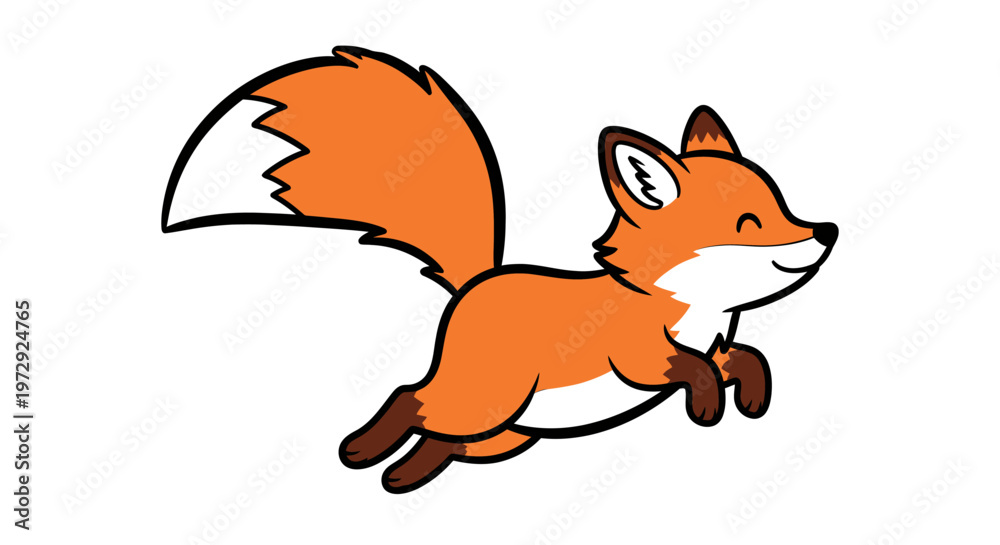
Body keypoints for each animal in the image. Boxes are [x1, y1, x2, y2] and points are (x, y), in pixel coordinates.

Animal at [163, 46, 837, 494]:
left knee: (442, 438)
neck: (686, 304)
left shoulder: (718, 343)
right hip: (485, 406)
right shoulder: (638, 355)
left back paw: (405, 475)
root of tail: (477, 283)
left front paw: (751, 396)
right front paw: (705, 404)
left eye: (782, 205)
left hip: (506, 432)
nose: (826, 233)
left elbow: (742, 360)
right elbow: (688, 369)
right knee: (410, 399)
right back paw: (364, 451)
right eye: (747, 223)